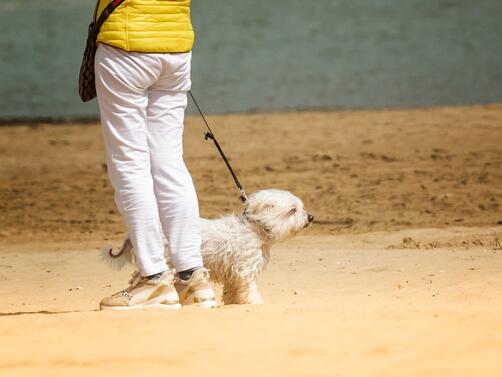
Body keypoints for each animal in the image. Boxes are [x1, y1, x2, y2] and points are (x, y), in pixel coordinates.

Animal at [103, 189, 314, 304]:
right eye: (293, 210)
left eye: (301, 208)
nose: (311, 217)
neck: (254, 229)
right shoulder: (246, 269)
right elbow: (249, 288)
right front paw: (254, 302)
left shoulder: (234, 273)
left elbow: (233, 289)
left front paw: (233, 302)